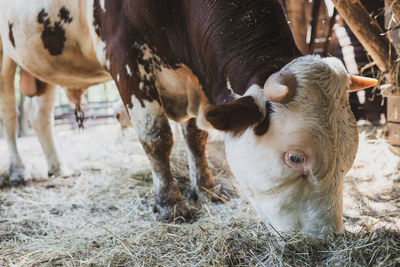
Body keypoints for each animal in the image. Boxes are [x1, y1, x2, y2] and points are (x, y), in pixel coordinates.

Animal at [0, 0, 376, 234]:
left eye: (350, 157)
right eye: (296, 157)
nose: (324, 239)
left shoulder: (197, 76)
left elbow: (197, 136)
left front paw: (206, 189)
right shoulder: (124, 58)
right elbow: (157, 138)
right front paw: (170, 205)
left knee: (39, 114)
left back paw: (58, 167)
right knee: (10, 115)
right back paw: (18, 171)